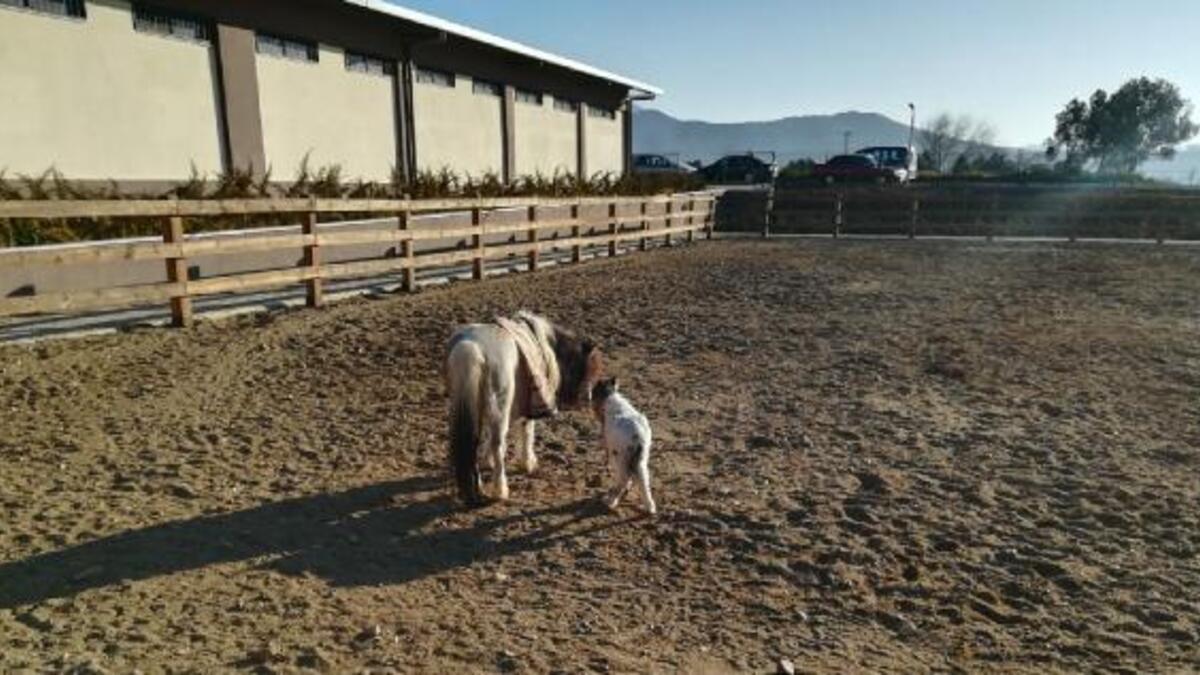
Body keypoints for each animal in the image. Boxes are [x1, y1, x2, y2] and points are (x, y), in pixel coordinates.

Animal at [446, 309, 600, 504]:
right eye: (588, 367)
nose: (587, 399)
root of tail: (472, 347)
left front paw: (487, 461)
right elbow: (527, 432)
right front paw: (528, 463)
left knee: (473, 443)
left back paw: (478, 485)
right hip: (499, 407)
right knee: (498, 444)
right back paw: (500, 490)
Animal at [590, 374, 657, 511]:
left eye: (594, 391)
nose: (590, 400)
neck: (611, 396)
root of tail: (636, 436)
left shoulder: (610, 448)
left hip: (620, 456)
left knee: (623, 477)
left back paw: (611, 501)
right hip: (642, 457)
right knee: (643, 478)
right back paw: (650, 506)